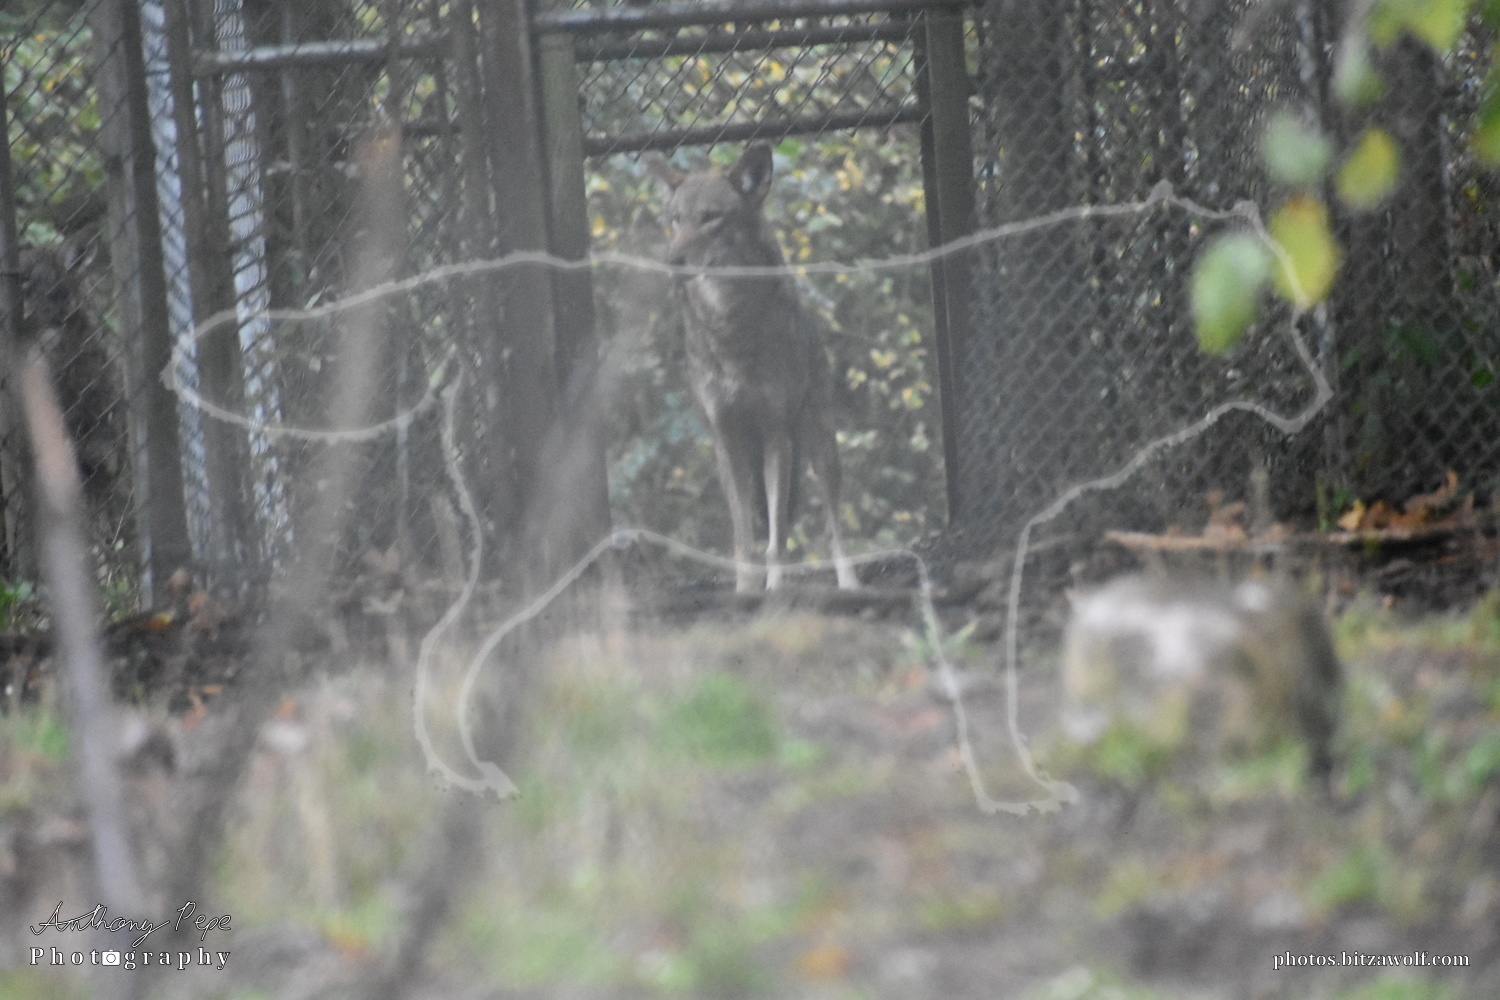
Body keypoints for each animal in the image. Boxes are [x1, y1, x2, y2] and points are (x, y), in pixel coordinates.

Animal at [653, 142, 858, 592]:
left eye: (711, 217)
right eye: (676, 220)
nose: (671, 261)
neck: (731, 325)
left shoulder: (775, 433)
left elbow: (776, 539)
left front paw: (775, 590)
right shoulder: (726, 439)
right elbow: (744, 540)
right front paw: (746, 591)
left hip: (820, 446)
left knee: (834, 525)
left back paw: (850, 582)